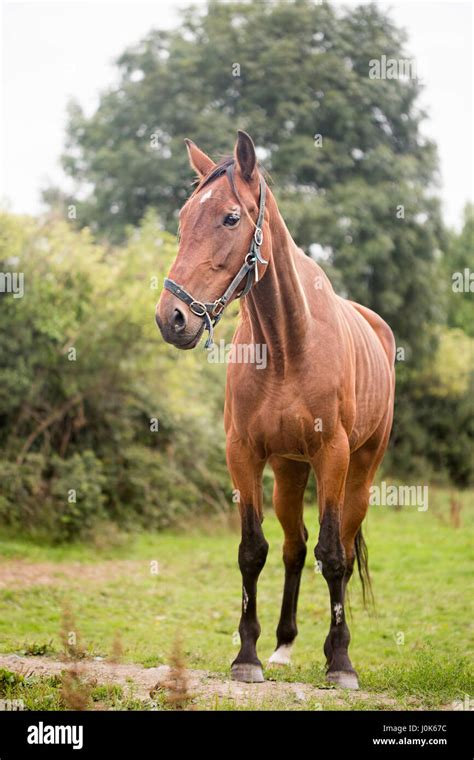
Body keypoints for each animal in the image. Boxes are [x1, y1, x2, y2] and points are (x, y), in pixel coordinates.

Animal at [156, 129, 396, 688]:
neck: (288, 344)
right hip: (289, 471)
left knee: (338, 548)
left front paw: (341, 663)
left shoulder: (333, 457)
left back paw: (331, 649)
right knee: (293, 546)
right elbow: (253, 551)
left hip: (360, 473)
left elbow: (333, 555)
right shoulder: (243, 455)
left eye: (230, 218)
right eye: (183, 217)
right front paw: (248, 655)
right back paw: (285, 645)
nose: (171, 317)